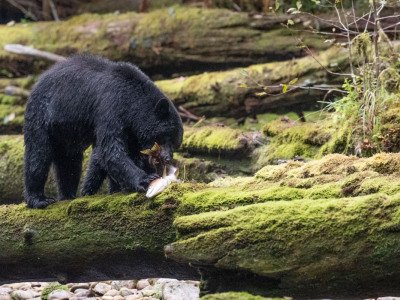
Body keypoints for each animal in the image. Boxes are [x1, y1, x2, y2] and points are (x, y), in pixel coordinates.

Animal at [23, 54, 183, 209]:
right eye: (165, 137)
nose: (167, 158)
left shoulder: (131, 129)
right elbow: (111, 150)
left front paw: (115, 188)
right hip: (42, 117)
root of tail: (37, 83)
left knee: (69, 163)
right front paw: (145, 179)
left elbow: (116, 154)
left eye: (176, 143)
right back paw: (39, 199)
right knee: (38, 155)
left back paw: (68, 195)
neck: (131, 102)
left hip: (66, 135)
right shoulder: (109, 108)